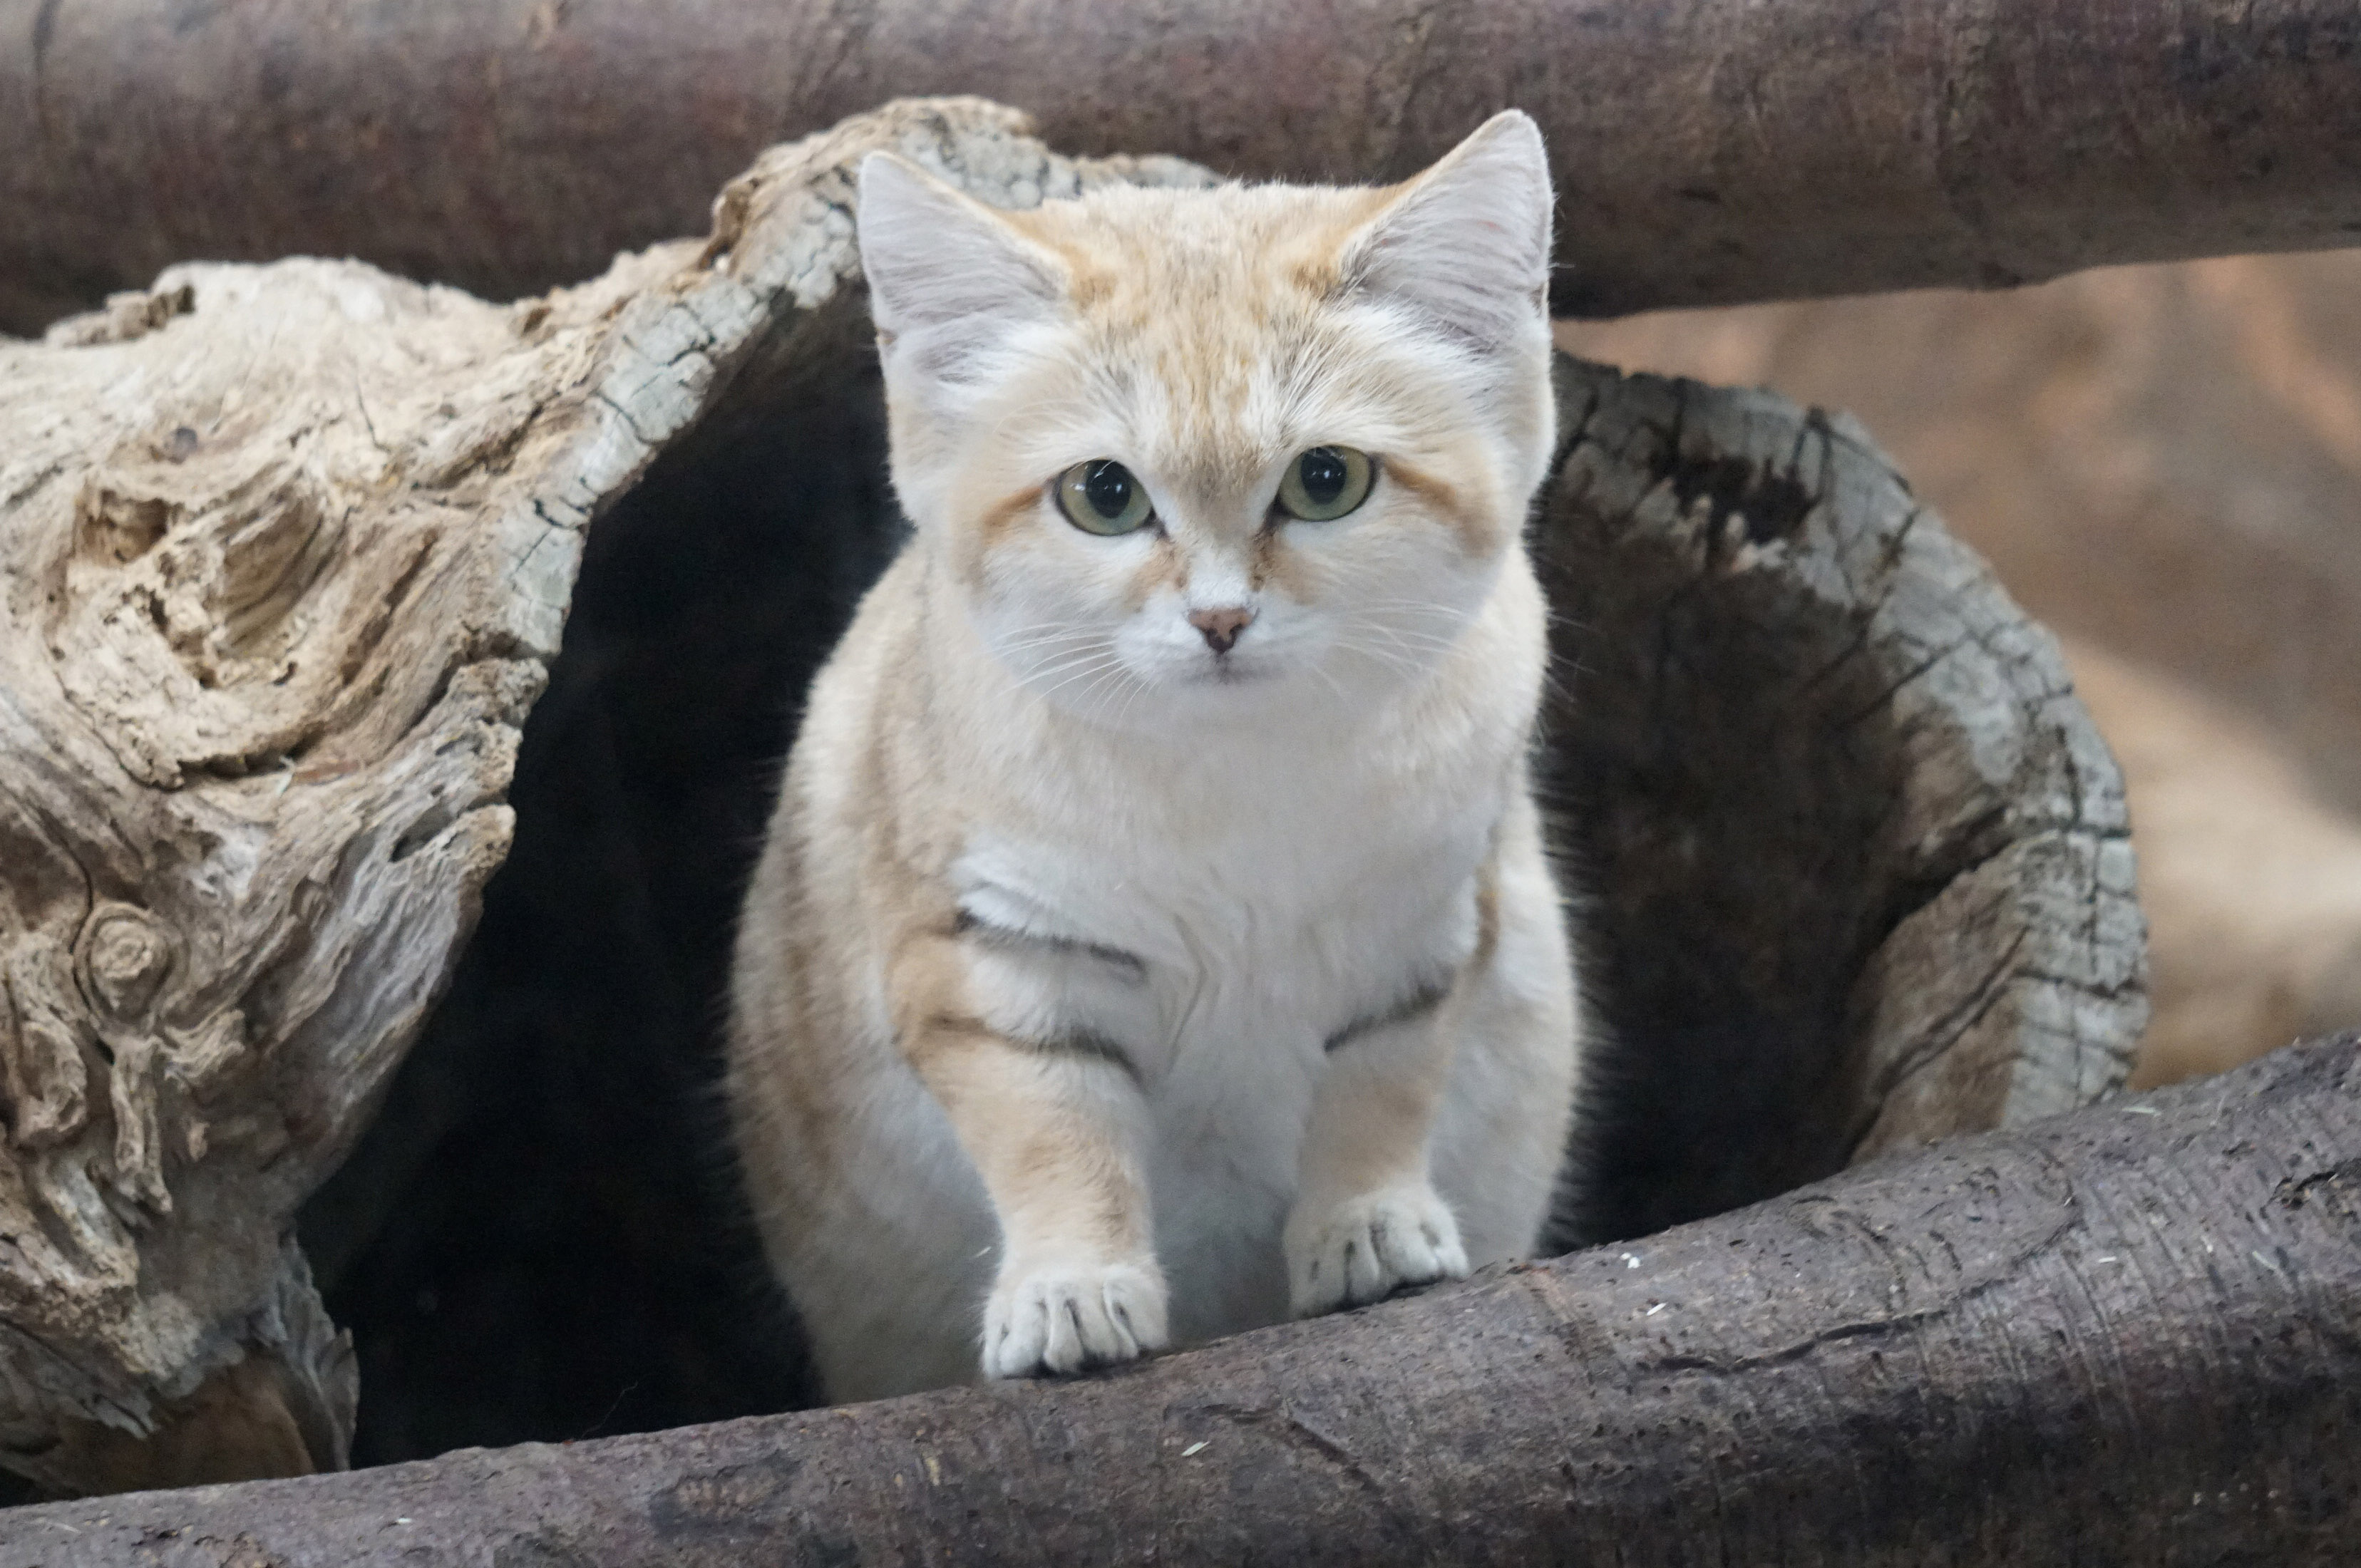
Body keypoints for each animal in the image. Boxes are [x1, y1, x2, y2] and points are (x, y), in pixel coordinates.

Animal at [727, 116, 1577, 1398]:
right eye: (1104, 494)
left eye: (1327, 480)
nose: (1220, 620)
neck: (1231, 779)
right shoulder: (994, 955)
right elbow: (1056, 1133)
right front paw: (1072, 1289)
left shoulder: (1423, 927)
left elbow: (1377, 1090)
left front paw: (1367, 1229)